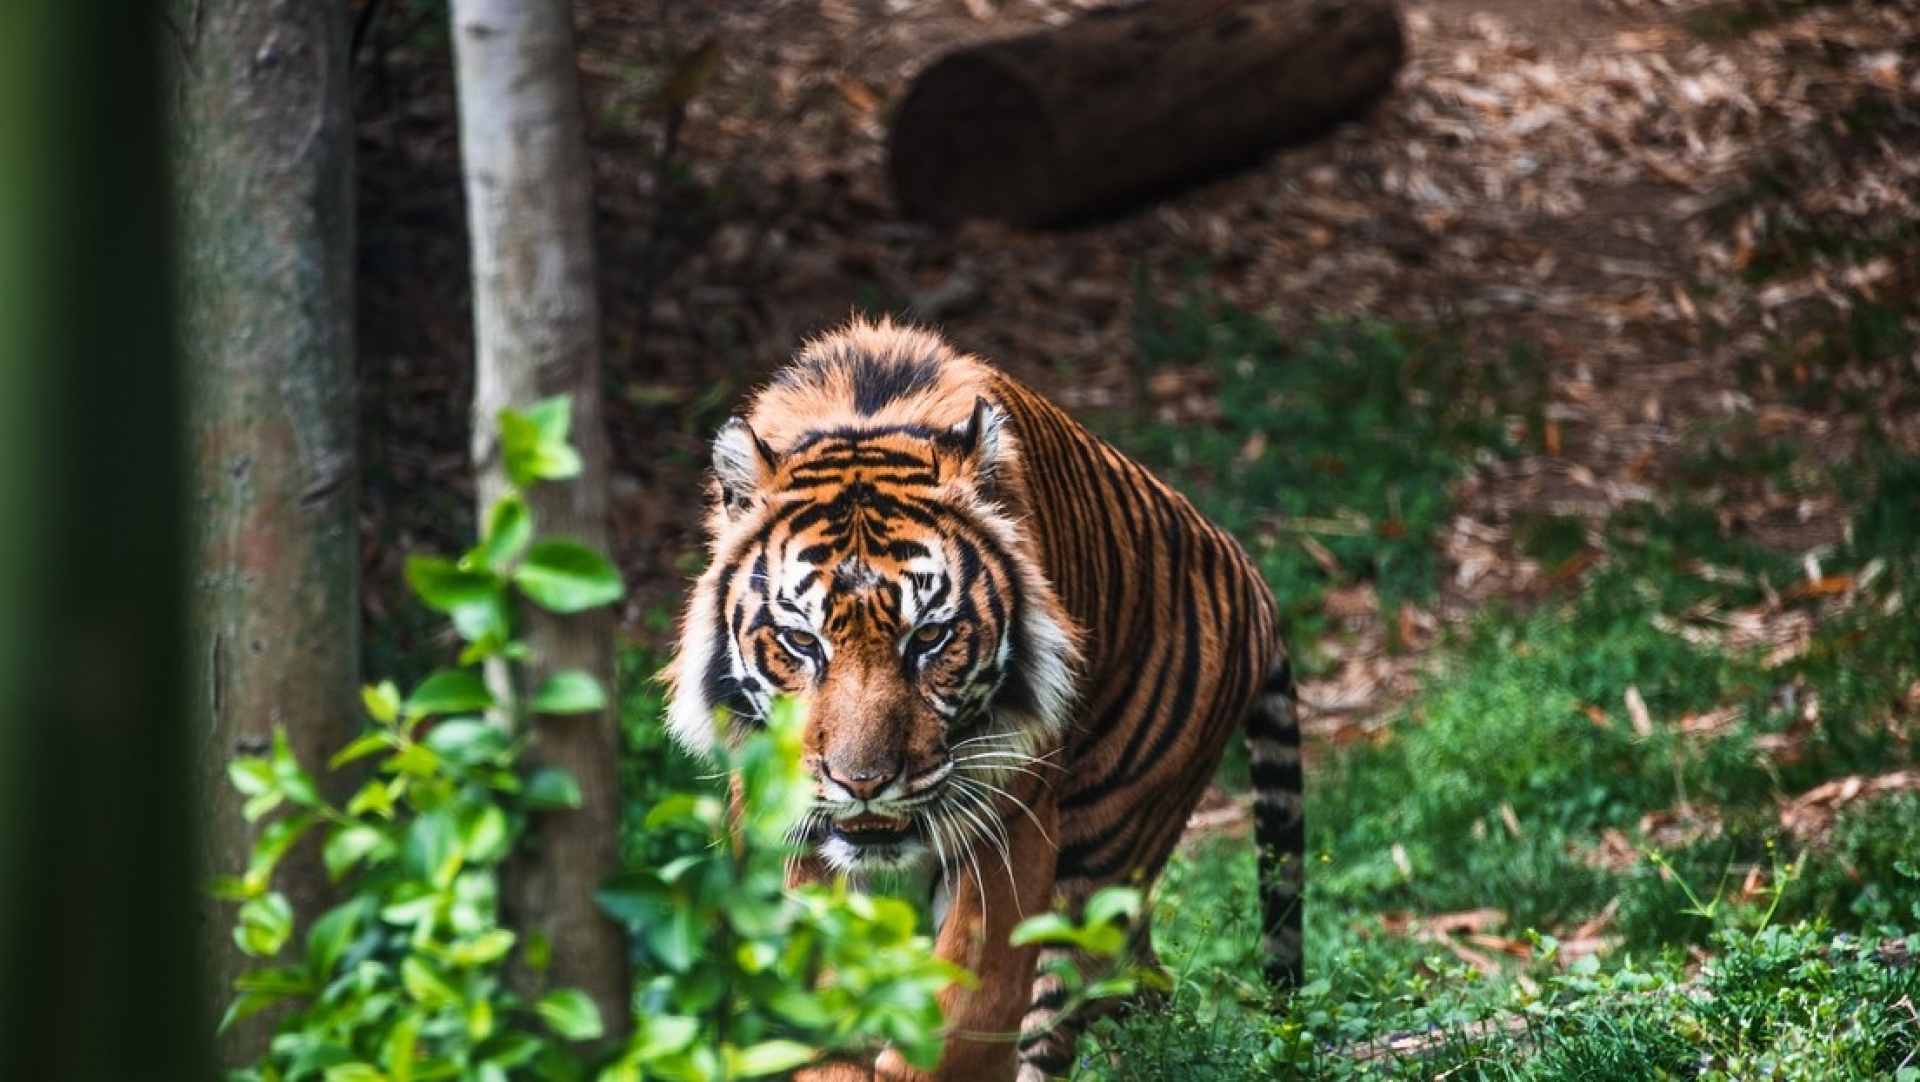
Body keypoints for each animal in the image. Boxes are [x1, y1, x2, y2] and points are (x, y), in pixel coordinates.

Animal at [664, 318, 1303, 1081]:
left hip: (1101, 850)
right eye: (801, 641)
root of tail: (1252, 580)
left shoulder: (1011, 820)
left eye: (930, 637)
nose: (863, 784)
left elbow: (969, 1013)